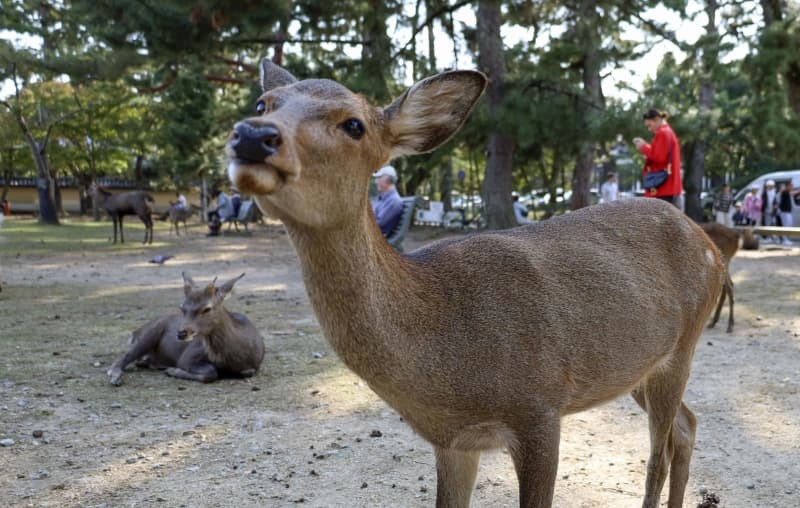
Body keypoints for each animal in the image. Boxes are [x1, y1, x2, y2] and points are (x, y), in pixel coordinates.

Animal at [107, 274, 266, 384]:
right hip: (152, 331)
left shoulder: (253, 366)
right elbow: (211, 373)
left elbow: (247, 372)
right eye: (182, 307)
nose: (181, 333)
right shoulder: (187, 357)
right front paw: (173, 370)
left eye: (207, 308)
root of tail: (136, 332)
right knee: (123, 357)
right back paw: (115, 377)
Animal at [225, 60, 724, 508]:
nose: (251, 135)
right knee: (688, 424)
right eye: (263, 102)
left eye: (354, 124)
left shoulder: (540, 408)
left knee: (658, 455)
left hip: (683, 345)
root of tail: (711, 245)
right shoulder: (454, 441)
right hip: (637, 366)